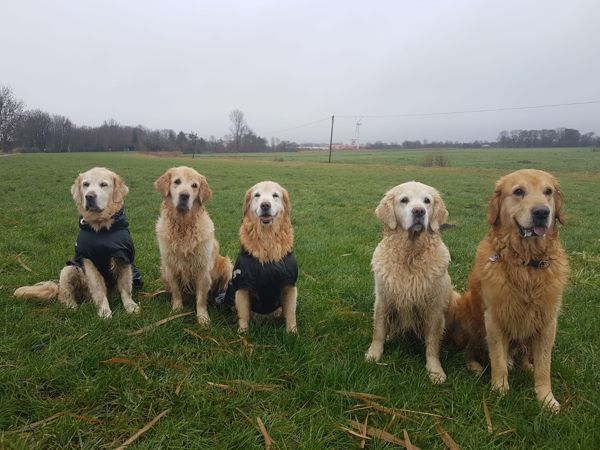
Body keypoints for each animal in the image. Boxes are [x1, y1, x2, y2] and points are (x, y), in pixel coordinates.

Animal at [14, 167, 141, 318]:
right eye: (85, 184)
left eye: (103, 184)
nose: (89, 196)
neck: (101, 229)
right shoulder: (88, 260)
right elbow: (98, 290)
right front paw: (104, 311)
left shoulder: (123, 258)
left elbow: (126, 288)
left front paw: (130, 306)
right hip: (68, 269)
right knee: (65, 295)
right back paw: (72, 306)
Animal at [155, 167, 232, 326]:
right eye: (177, 181)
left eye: (194, 186)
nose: (184, 195)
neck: (183, 225)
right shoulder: (170, 266)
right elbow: (176, 291)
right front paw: (176, 309)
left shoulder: (202, 269)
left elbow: (201, 298)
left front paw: (203, 318)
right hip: (163, 270)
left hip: (227, 265)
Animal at [224, 180, 298, 334]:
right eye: (257, 195)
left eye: (275, 195)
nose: (265, 205)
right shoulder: (243, 286)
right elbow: (244, 314)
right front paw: (243, 333)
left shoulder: (289, 285)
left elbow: (290, 313)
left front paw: (292, 332)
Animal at [366, 181, 450, 384]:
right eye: (404, 200)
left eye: (427, 201)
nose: (419, 211)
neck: (410, 256)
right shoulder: (383, 298)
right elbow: (378, 330)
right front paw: (374, 354)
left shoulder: (434, 307)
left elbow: (432, 343)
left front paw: (435, 371)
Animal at [448, 169, 568, 412]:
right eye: (518, 191)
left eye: (548, 191)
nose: (542, 212)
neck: (526, 263)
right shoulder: (494, 318)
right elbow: (498, 360)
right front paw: (500, 390)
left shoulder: (547, 322)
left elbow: (544, 366)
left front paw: (546, 398)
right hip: (467, 315)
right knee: (469, 350)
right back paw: (474, 366)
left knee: (525, 357)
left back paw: (526, 366)